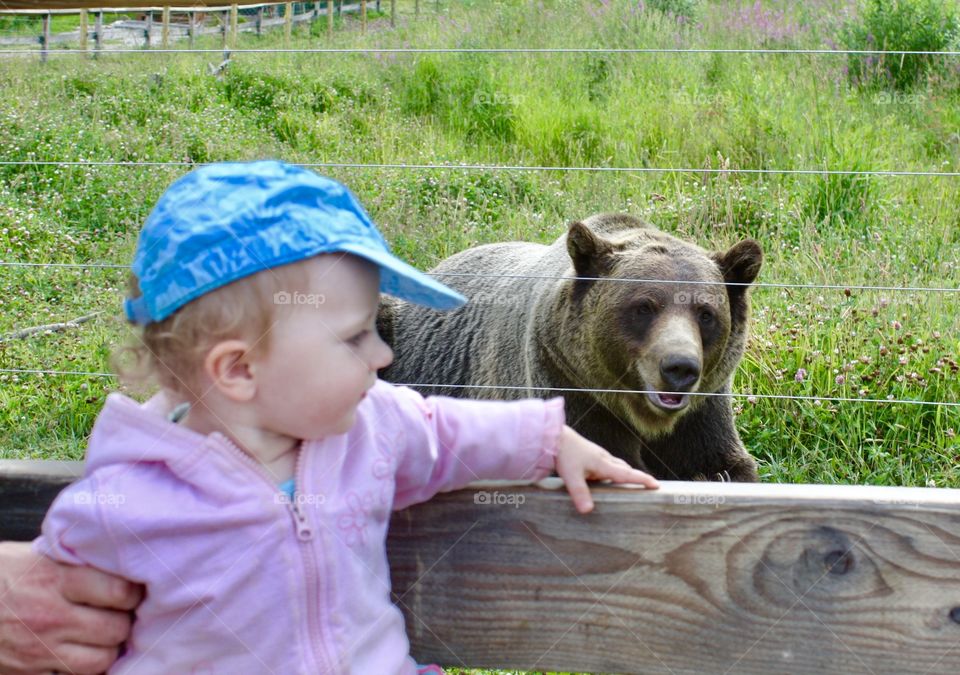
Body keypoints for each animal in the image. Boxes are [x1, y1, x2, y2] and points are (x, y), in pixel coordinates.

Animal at [377, 213, 763, 482]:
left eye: (706, 313)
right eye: (644, 307)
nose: (679, 367)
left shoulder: (703, 410)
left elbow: (722, 465)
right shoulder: (565, 381)